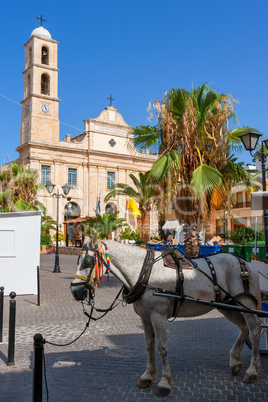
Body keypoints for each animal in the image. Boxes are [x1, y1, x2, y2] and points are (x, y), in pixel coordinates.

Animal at [70, 236, 260, 396]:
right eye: (78, 260)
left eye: (88, 261)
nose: (75, 291)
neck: (145, 273)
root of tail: (245, 262)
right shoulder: (145, 317)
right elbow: (148, 345)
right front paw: (147, 376)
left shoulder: (158, 316)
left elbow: (162, 348)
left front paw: (164, 383)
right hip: (228, 306)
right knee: (243, 328)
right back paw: (235, 362)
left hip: (247, 305)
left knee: (255, 331)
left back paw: (252, 371)